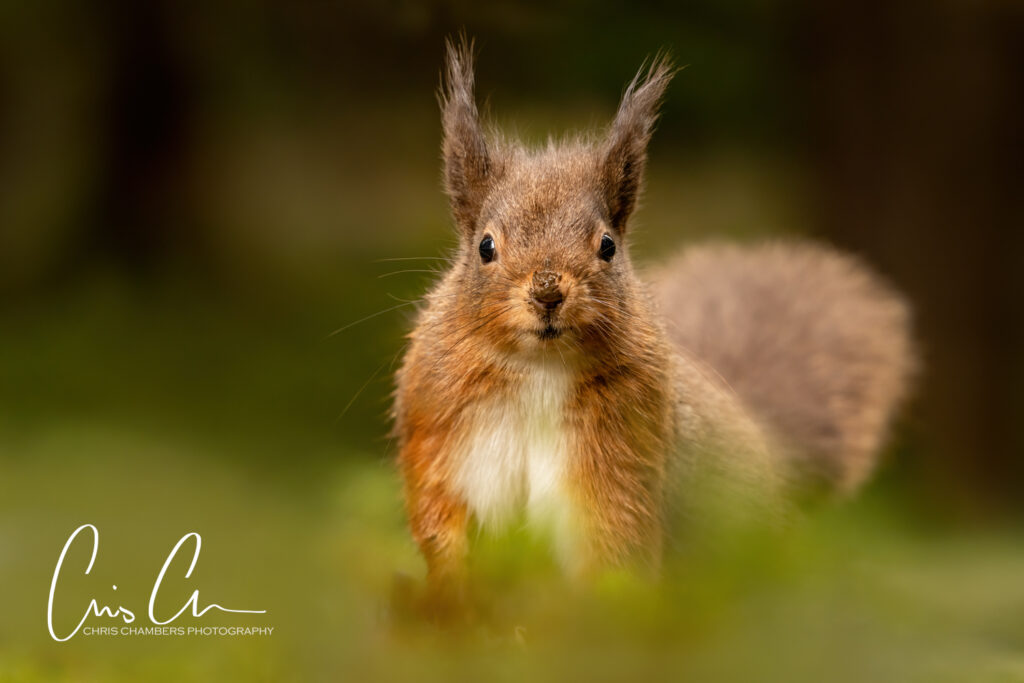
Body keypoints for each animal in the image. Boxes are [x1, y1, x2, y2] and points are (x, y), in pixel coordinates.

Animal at [393, 38, 914, 606]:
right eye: (485, 246)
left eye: (607, 245)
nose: (548, 291)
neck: (539, 367)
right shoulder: (442, 437)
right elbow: (441, 522)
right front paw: (451, 597)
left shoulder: (621, 461)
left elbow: (612, 553)